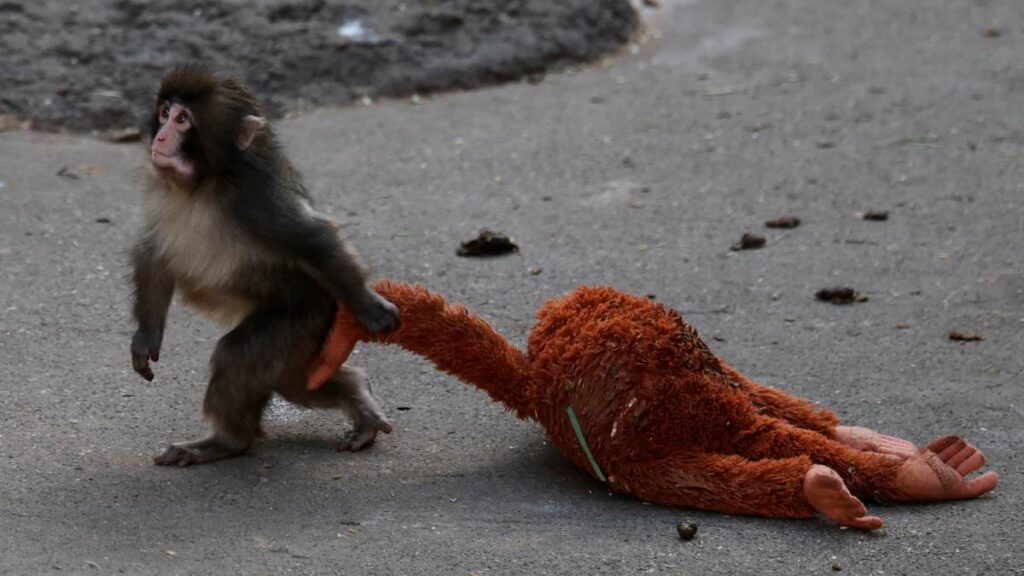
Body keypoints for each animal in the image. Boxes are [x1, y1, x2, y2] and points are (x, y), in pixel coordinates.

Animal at [130, 66, 399, 466]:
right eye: (164, 113)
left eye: (182, 120)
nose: (160, 137)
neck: (204, 183)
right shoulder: (159, 192)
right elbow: (154, 253)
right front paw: (146, 337)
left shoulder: (257, 200)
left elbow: (313, 237)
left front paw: (370, 306)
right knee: (297, 382)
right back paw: (358, 394)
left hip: (303, 316)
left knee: (240, 357)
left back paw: (227, 441)